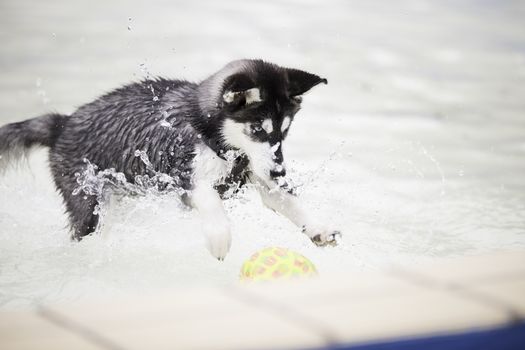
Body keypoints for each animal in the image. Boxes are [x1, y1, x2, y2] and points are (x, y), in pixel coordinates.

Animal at [0, 58, 340, 258]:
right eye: (257, 128)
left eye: (285, 130)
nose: (280, 171)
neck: (212, 136)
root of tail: (64, 123)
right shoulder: (185, 175)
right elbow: (209, 199)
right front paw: (219, 236)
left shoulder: (258, 170)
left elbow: (288, 201)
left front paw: (318, 228)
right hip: (88, 203)